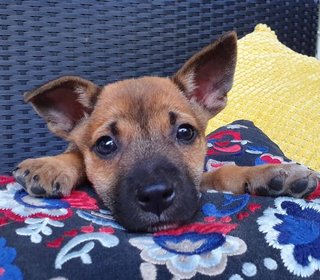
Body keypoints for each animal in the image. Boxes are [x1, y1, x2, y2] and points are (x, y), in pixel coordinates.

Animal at [11, 32, 318, 232]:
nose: (156, 196)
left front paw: (273, 174)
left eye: (185, 132)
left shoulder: (198, 181)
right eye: (105, 145)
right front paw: (51, 166)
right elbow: (75, 155)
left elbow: (223, 173)